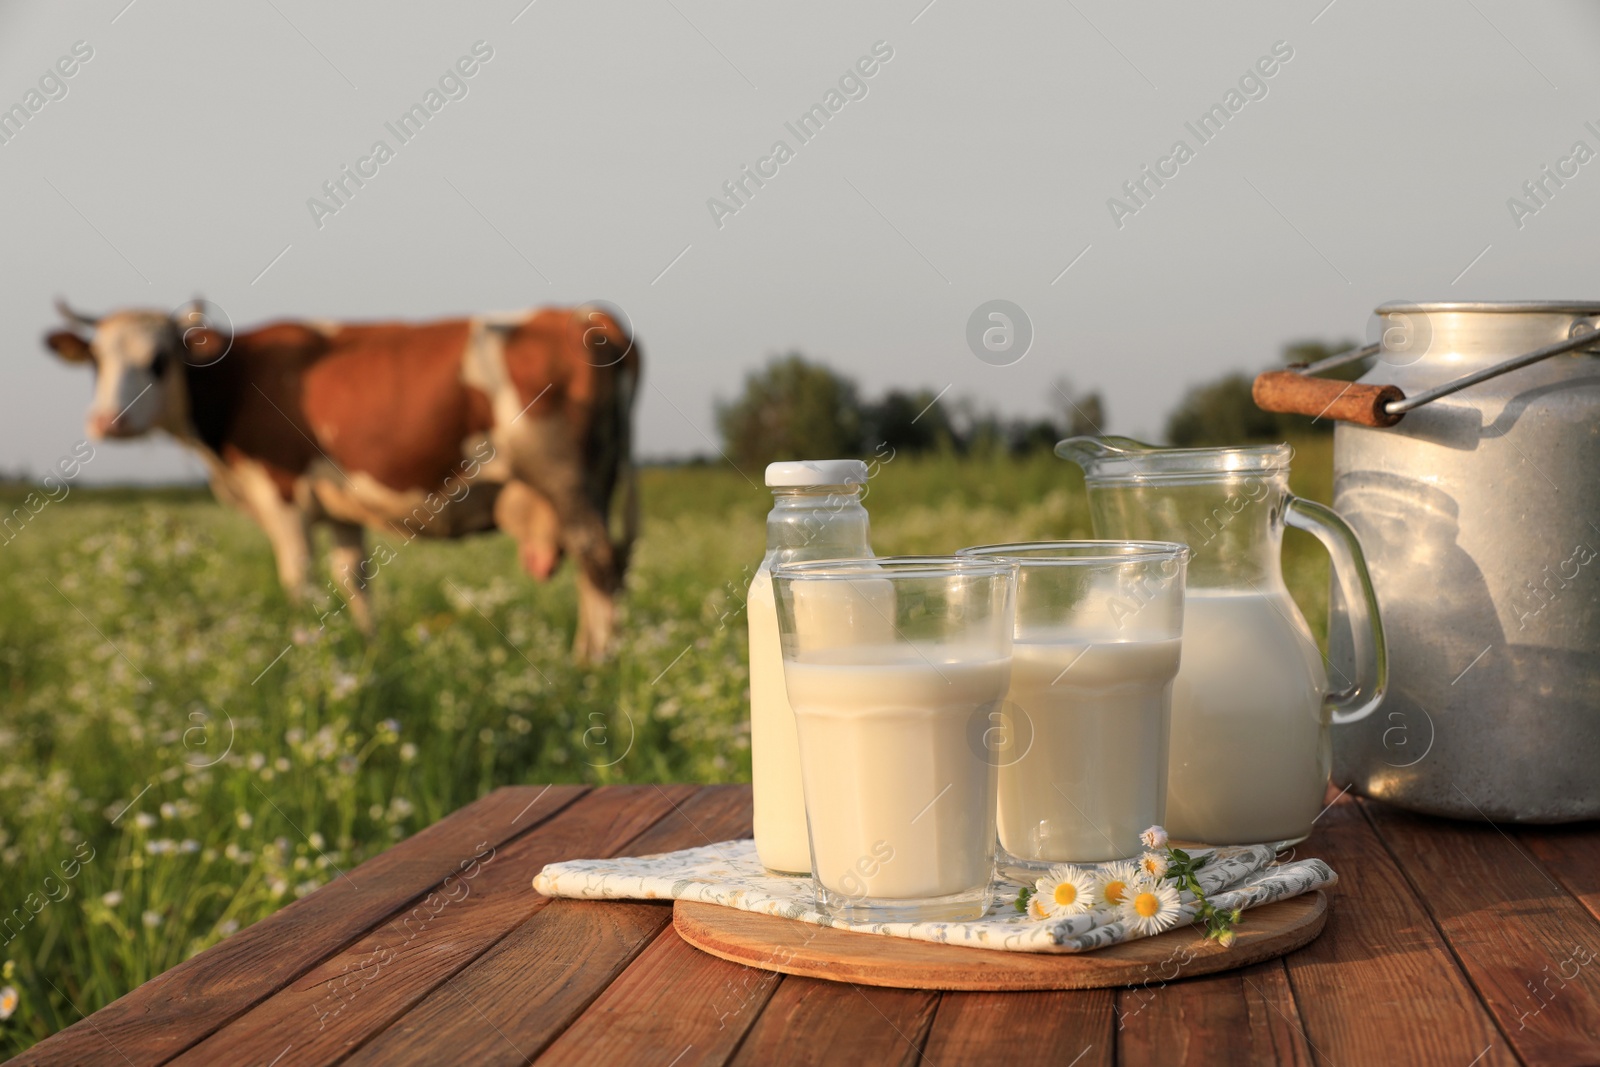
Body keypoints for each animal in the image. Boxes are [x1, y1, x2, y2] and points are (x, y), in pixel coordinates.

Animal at [42, 300, 636, 662]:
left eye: (159, 360)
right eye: (96, 360)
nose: (108, 422)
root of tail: (585, 313)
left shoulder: (282, 496)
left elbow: (298, 578)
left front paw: (303, 655)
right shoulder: (342, 509)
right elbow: (356, 579)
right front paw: (371, 651)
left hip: (563, 478)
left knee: (599, 562)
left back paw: (595, 667)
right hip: (594, 484)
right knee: (598, 570)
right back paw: (588, 657)